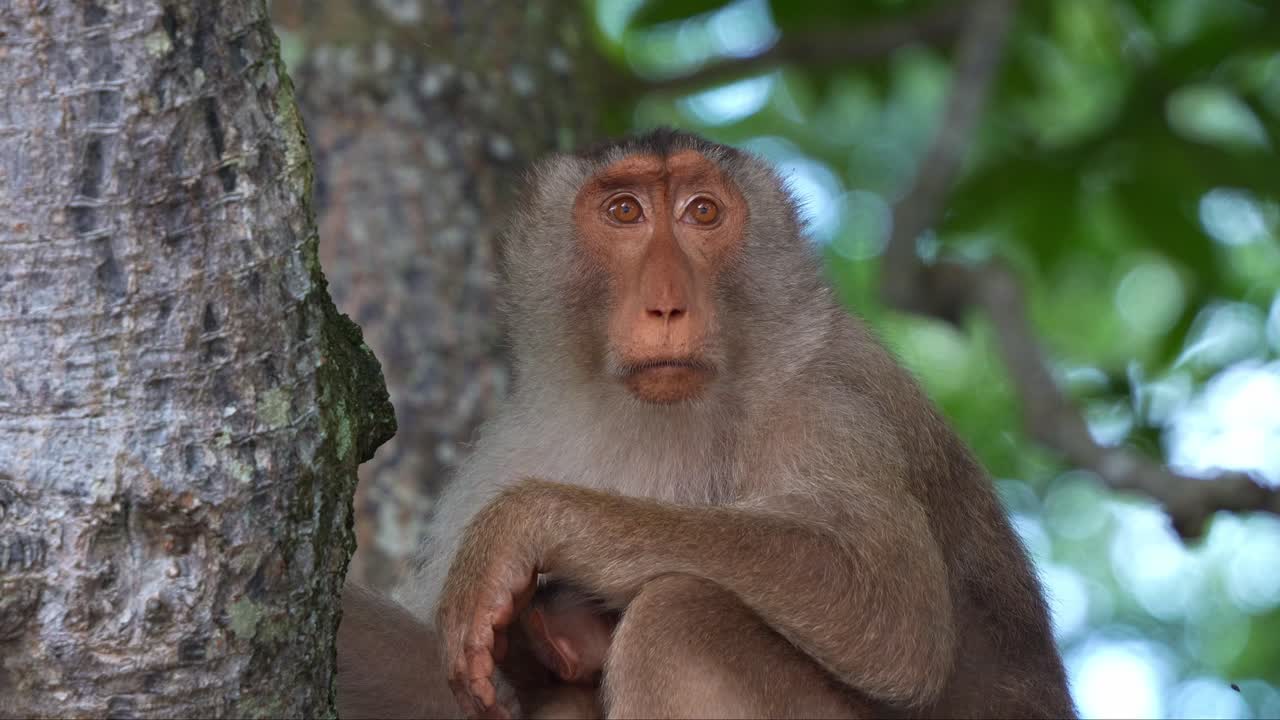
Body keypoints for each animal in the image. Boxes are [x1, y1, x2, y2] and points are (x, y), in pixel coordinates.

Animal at [338, 128, 1076, 718]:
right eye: (625, 211)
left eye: (703, 212)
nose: (668, 306)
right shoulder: (515, 442)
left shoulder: (826, 396)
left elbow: (895, 606)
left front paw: (526, 523)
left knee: (680, 617)